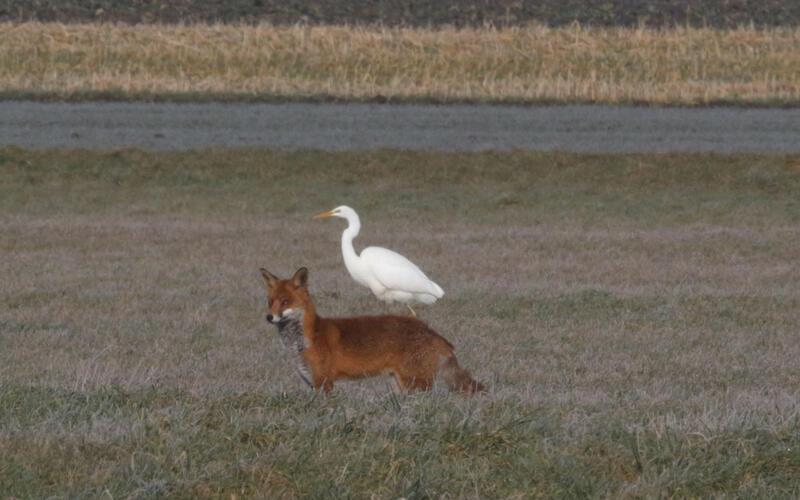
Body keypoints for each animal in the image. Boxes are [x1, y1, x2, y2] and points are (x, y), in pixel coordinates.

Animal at [260, 267, 484, 395]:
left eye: (285, 301)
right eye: (270, 302)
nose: (269, 317)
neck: (304, 340)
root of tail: (428, 329)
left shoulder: (324, 383)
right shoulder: (311, 383)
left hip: (415, 384)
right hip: (402, 384)